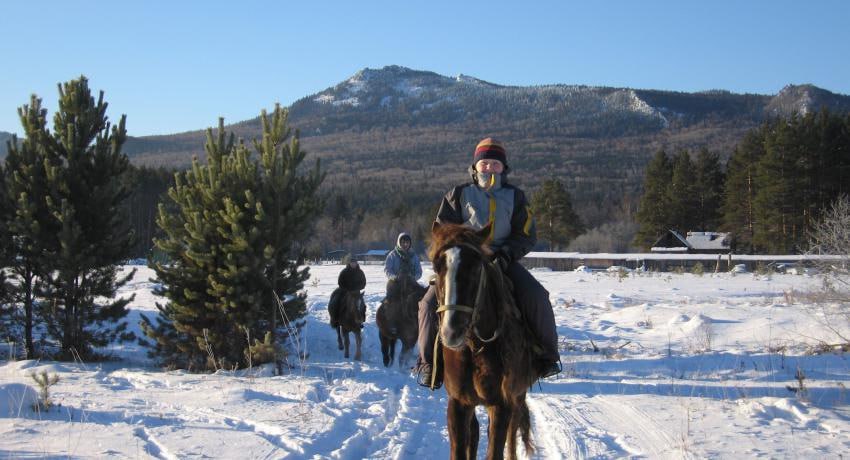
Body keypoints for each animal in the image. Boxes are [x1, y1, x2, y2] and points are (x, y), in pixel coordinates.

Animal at [430, 221, 536, 458]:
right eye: (436, 267)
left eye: (475, 267)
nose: (451, 331)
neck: (474, 349)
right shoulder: (458, 403)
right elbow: (462, 448)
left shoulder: (501, 403)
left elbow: (496, 448)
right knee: (476, 433)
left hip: (518, 394)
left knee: (512, 434)